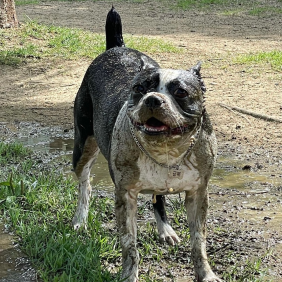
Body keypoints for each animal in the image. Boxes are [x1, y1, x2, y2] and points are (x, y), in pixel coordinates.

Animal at [71, 6, 221, 282]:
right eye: (140, 87)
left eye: (181, 92)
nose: (152, 99)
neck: (166, 150)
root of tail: (116, 47)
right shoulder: (125, 196)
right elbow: (129, 245)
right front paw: (130, 275)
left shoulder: (198, 194)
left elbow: (198, 241)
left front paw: (205, 274)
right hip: (83, 147)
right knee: (84, 182)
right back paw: (80, 218)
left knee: (158, 198)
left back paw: (165, 229)